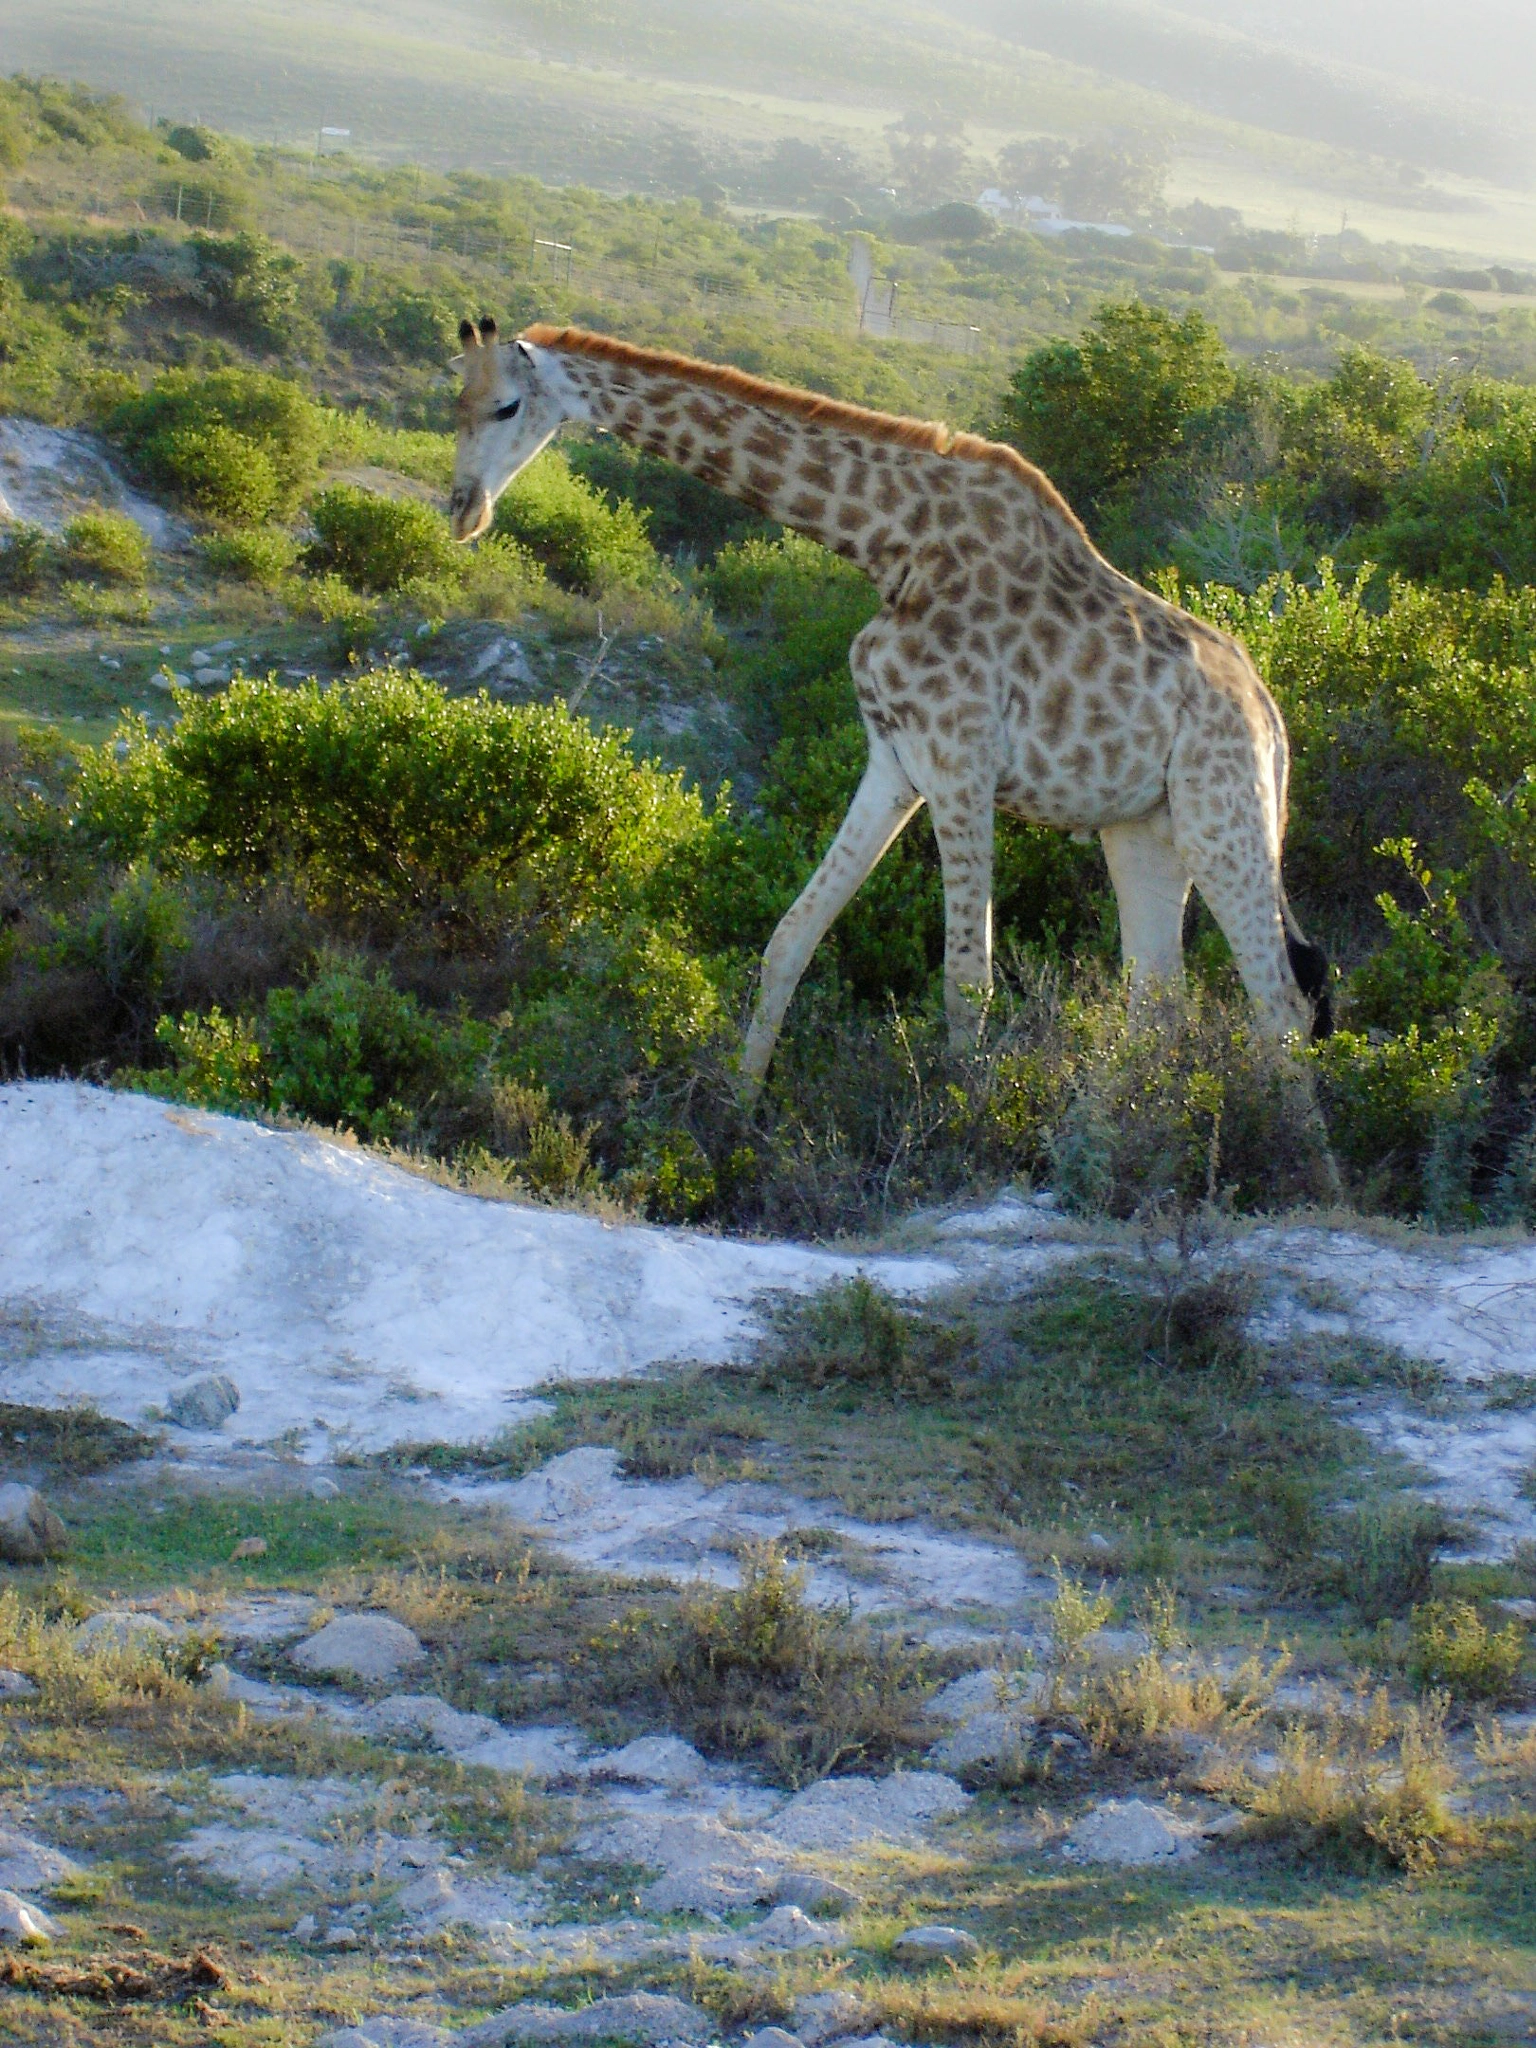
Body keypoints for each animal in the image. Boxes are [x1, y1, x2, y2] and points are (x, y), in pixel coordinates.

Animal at [448, 317, 1335, 1089]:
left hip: (1224, 818)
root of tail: (1272, 717)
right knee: (1158, 1005)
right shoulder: (896, 762)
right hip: (1143, 831)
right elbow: (789, 939)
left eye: (507, 405)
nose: (462, 510)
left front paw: (964, 1128)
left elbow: (966, 983)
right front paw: (740, 1107)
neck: (888, 546)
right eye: (453, 401)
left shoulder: (962, 767)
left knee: (1282, 1006)